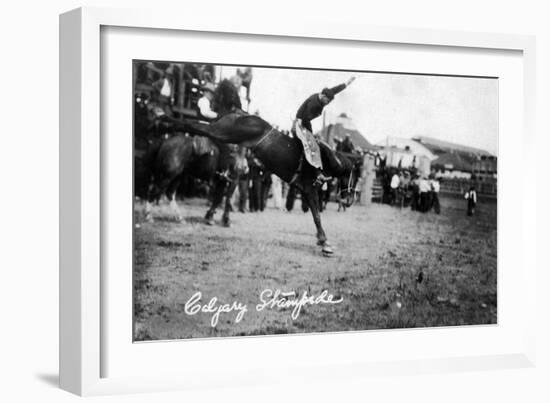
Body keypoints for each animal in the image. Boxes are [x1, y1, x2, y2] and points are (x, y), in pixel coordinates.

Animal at [182, 112, 358, 256]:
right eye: (353, 176)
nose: (350, 200)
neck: (323, 161)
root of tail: (240, 114)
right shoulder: (309, 190)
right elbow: (317, 216)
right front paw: (325, 242)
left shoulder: (304, 190)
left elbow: (315, 214)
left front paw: (321, 240)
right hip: (223, 134)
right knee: (193, 125)